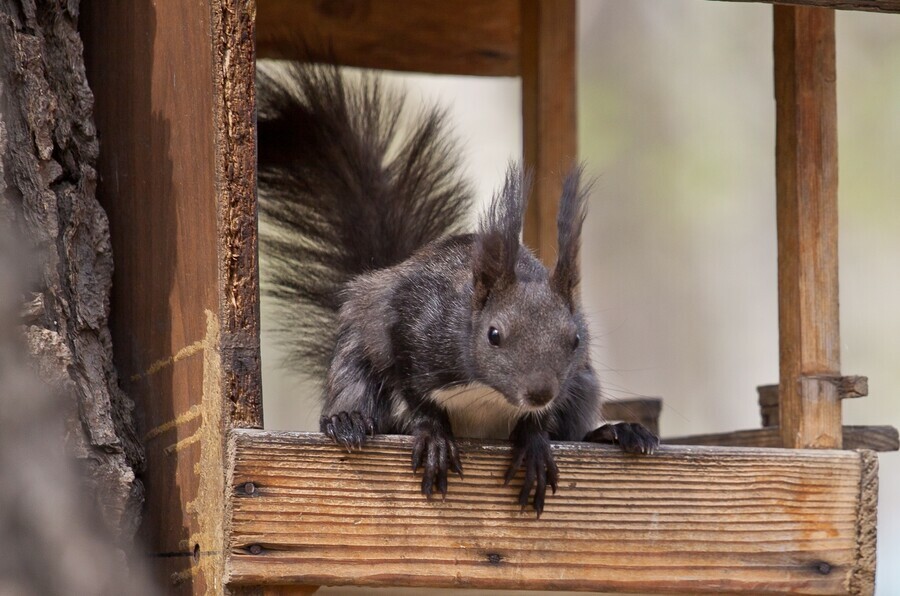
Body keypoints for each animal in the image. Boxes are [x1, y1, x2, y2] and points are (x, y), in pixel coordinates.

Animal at [256, 61, 656, 516]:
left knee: (573, 430)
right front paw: (433, 434)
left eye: (575, 340)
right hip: (356, 360)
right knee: (358, 388)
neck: (488, 392)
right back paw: (347, 420)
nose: (539, 393)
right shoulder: (410, 328)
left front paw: (535, 441)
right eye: (493, 335)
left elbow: (540, 426)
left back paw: (617, 433)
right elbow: (414, 391)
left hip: (582, 388)